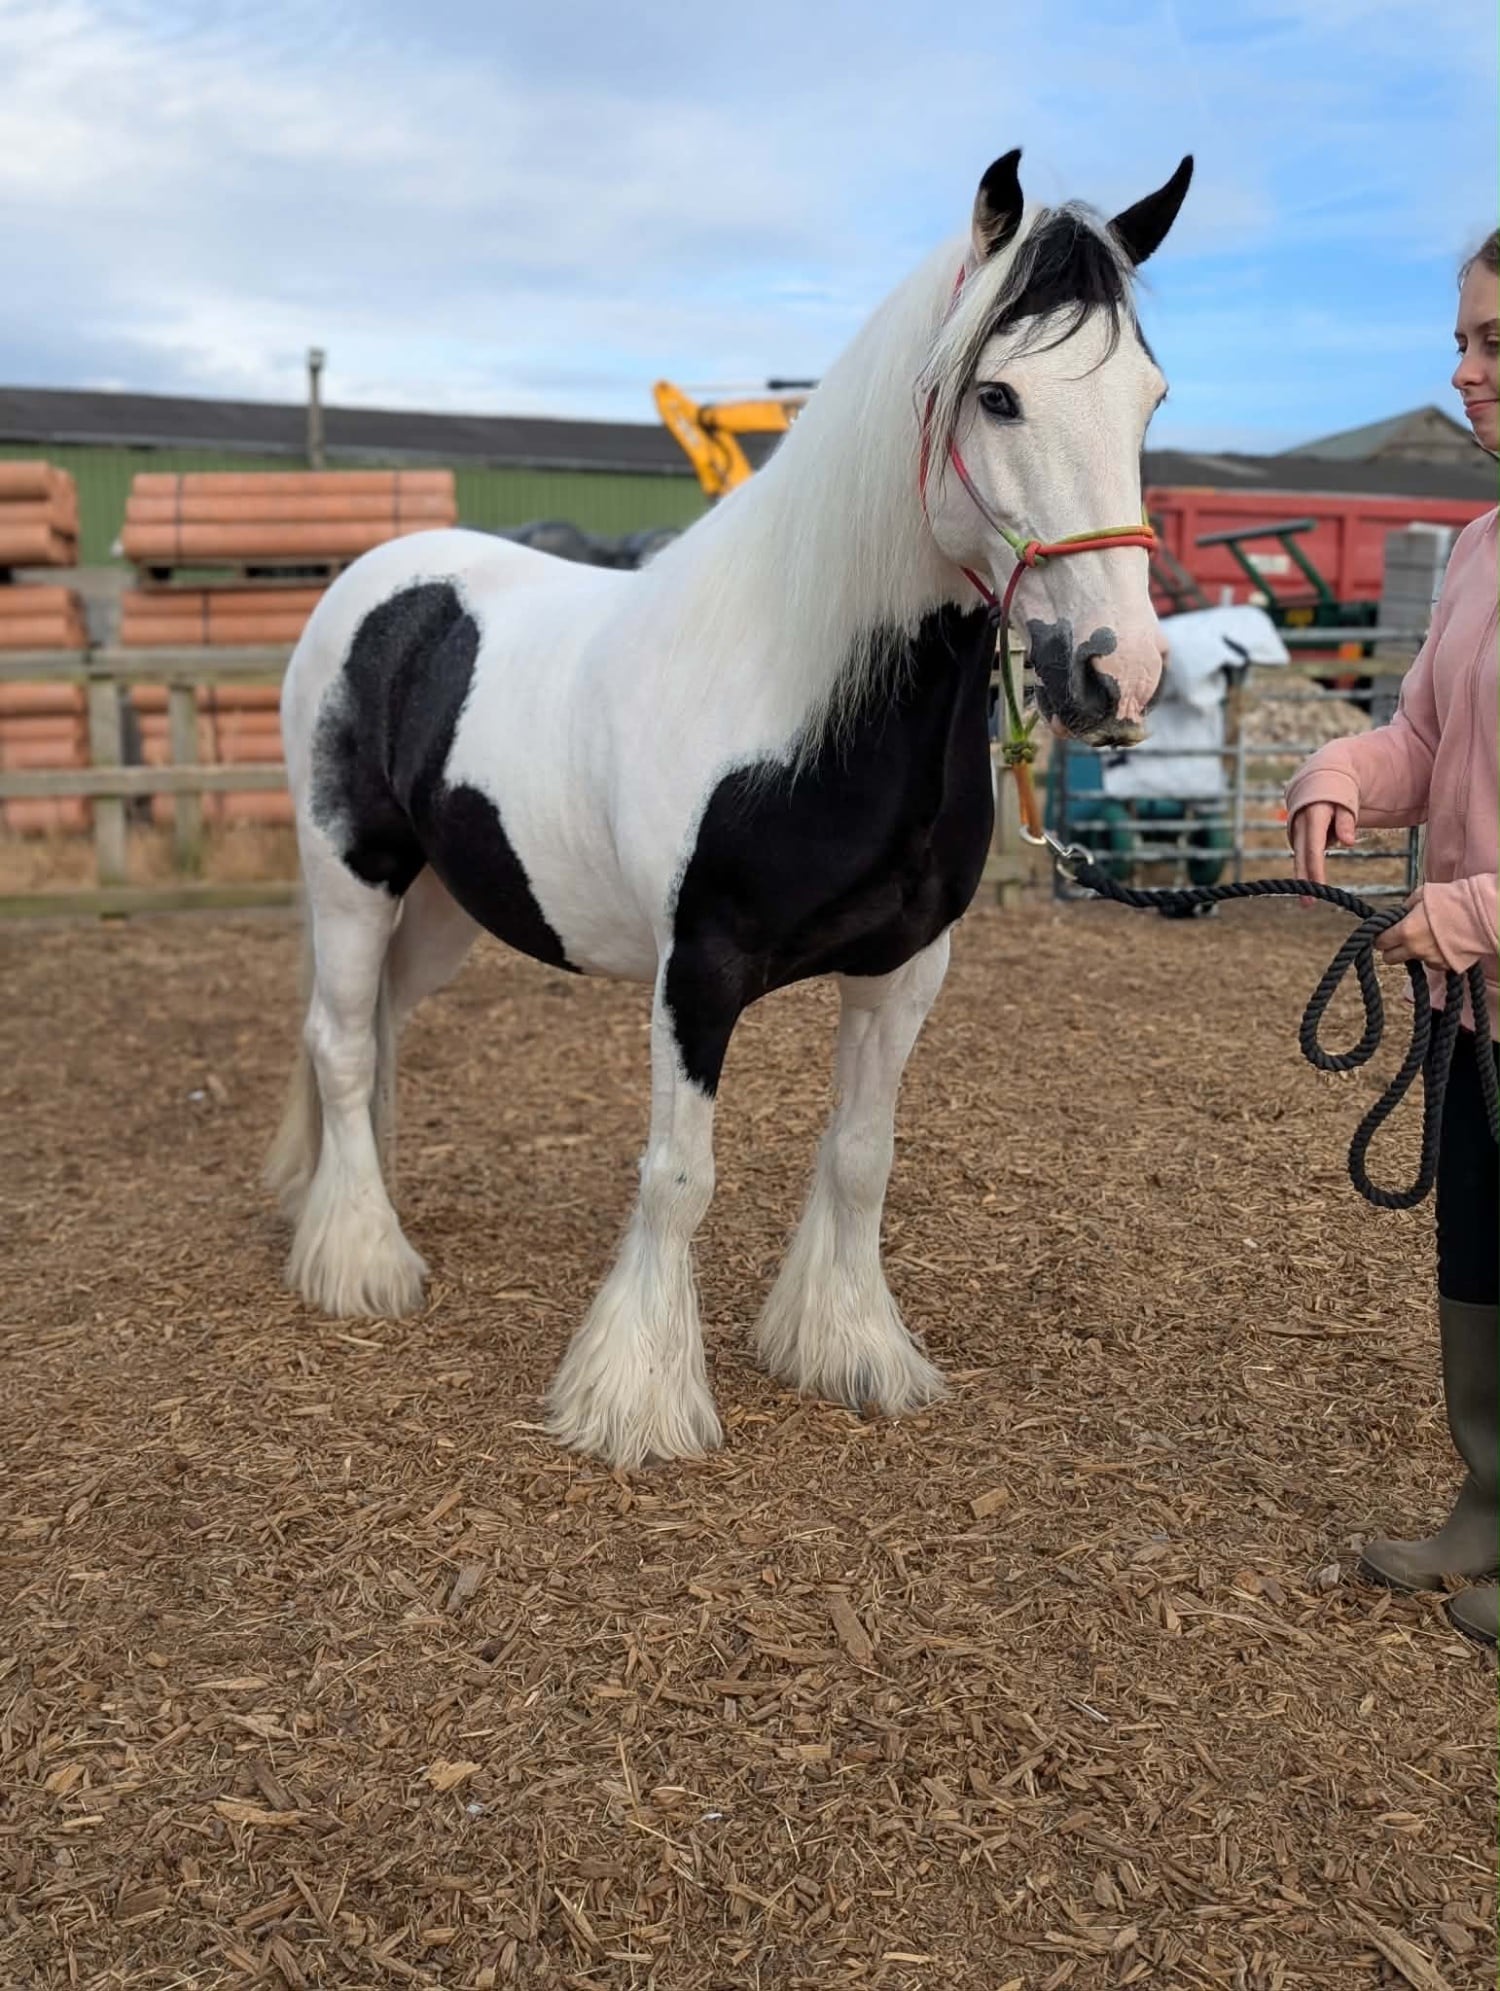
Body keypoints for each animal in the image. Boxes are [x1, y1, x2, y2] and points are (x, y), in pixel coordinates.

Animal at [266, 146, 1193, 1470]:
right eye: (1000, 395)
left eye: (1149, 399)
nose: (1119, 676)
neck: (803, 700)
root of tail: (375, 581)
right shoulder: (694, 971)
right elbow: (679, 1175)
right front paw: (637, 1399)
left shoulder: (907, 968)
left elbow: (860, 1155)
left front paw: (848, 1348)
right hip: (353, 874)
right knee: (341, 1040)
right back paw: (361, 1259)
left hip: (444, 903)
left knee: (381, 1031)